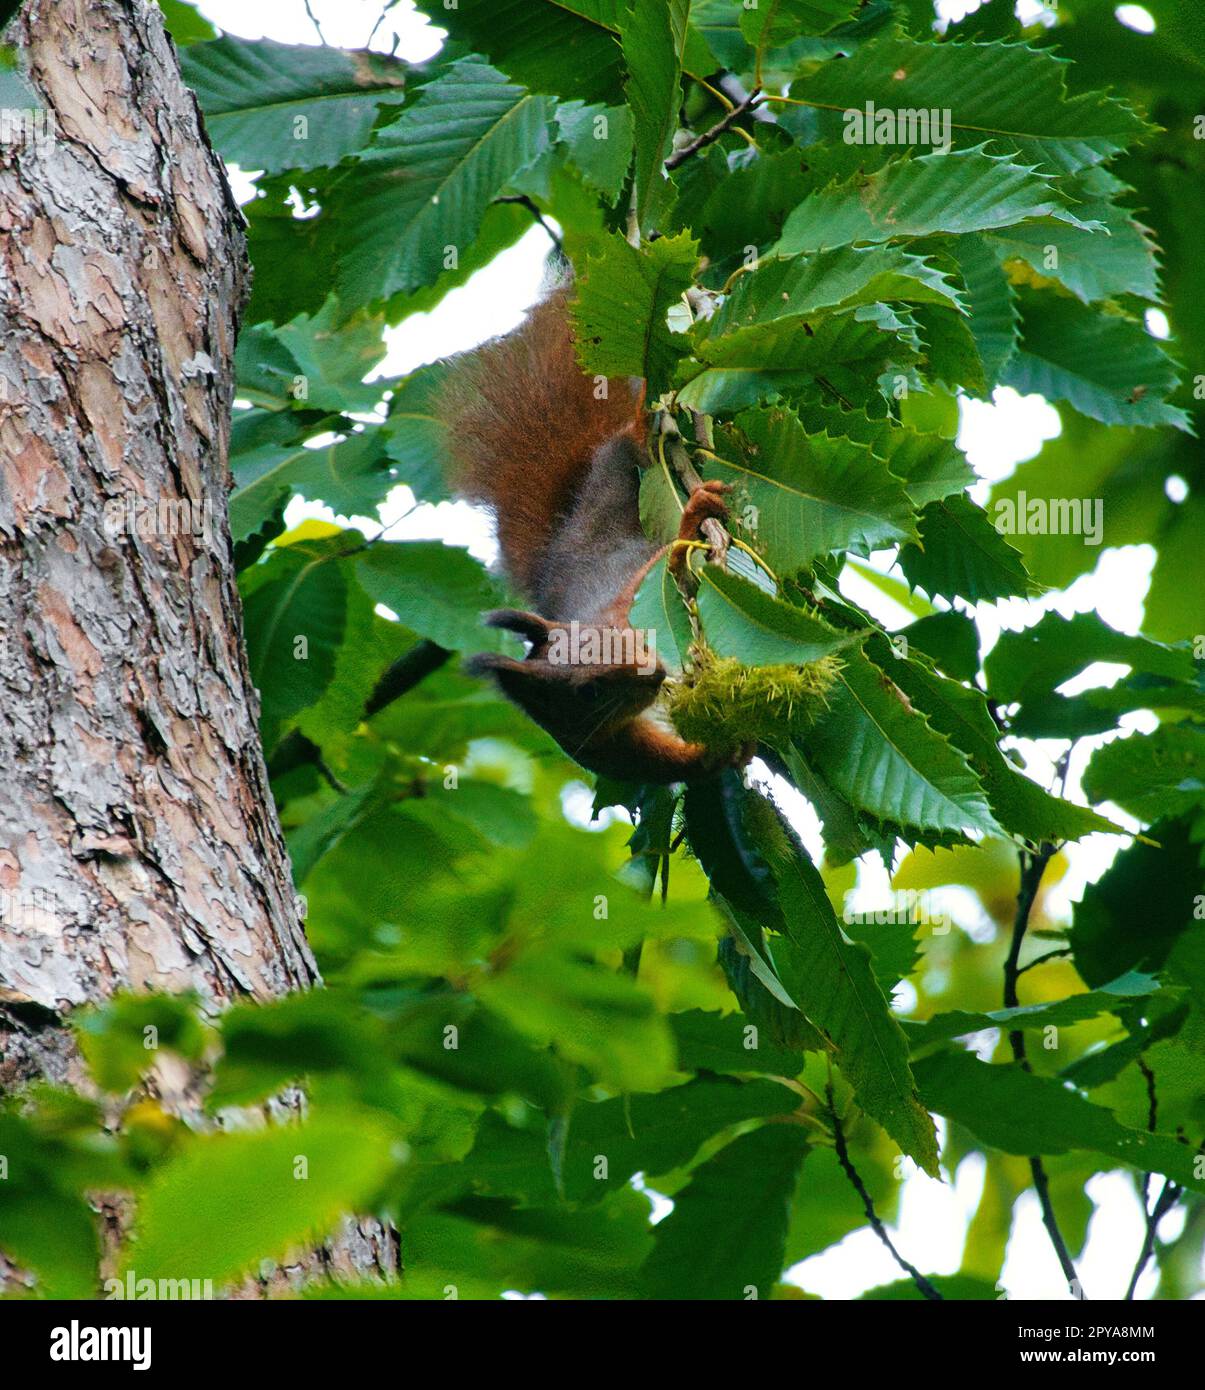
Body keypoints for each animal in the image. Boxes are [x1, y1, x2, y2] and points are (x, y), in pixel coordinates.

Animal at [439, 289, 728, 783]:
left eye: (614, 634)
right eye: (588, 693)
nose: (653, 672)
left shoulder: (630, 595)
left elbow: (666, 561)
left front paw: (691, 524)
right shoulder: (599, 746)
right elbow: (659, 764)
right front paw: (715, 755)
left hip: (624, 459)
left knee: (638, 438)